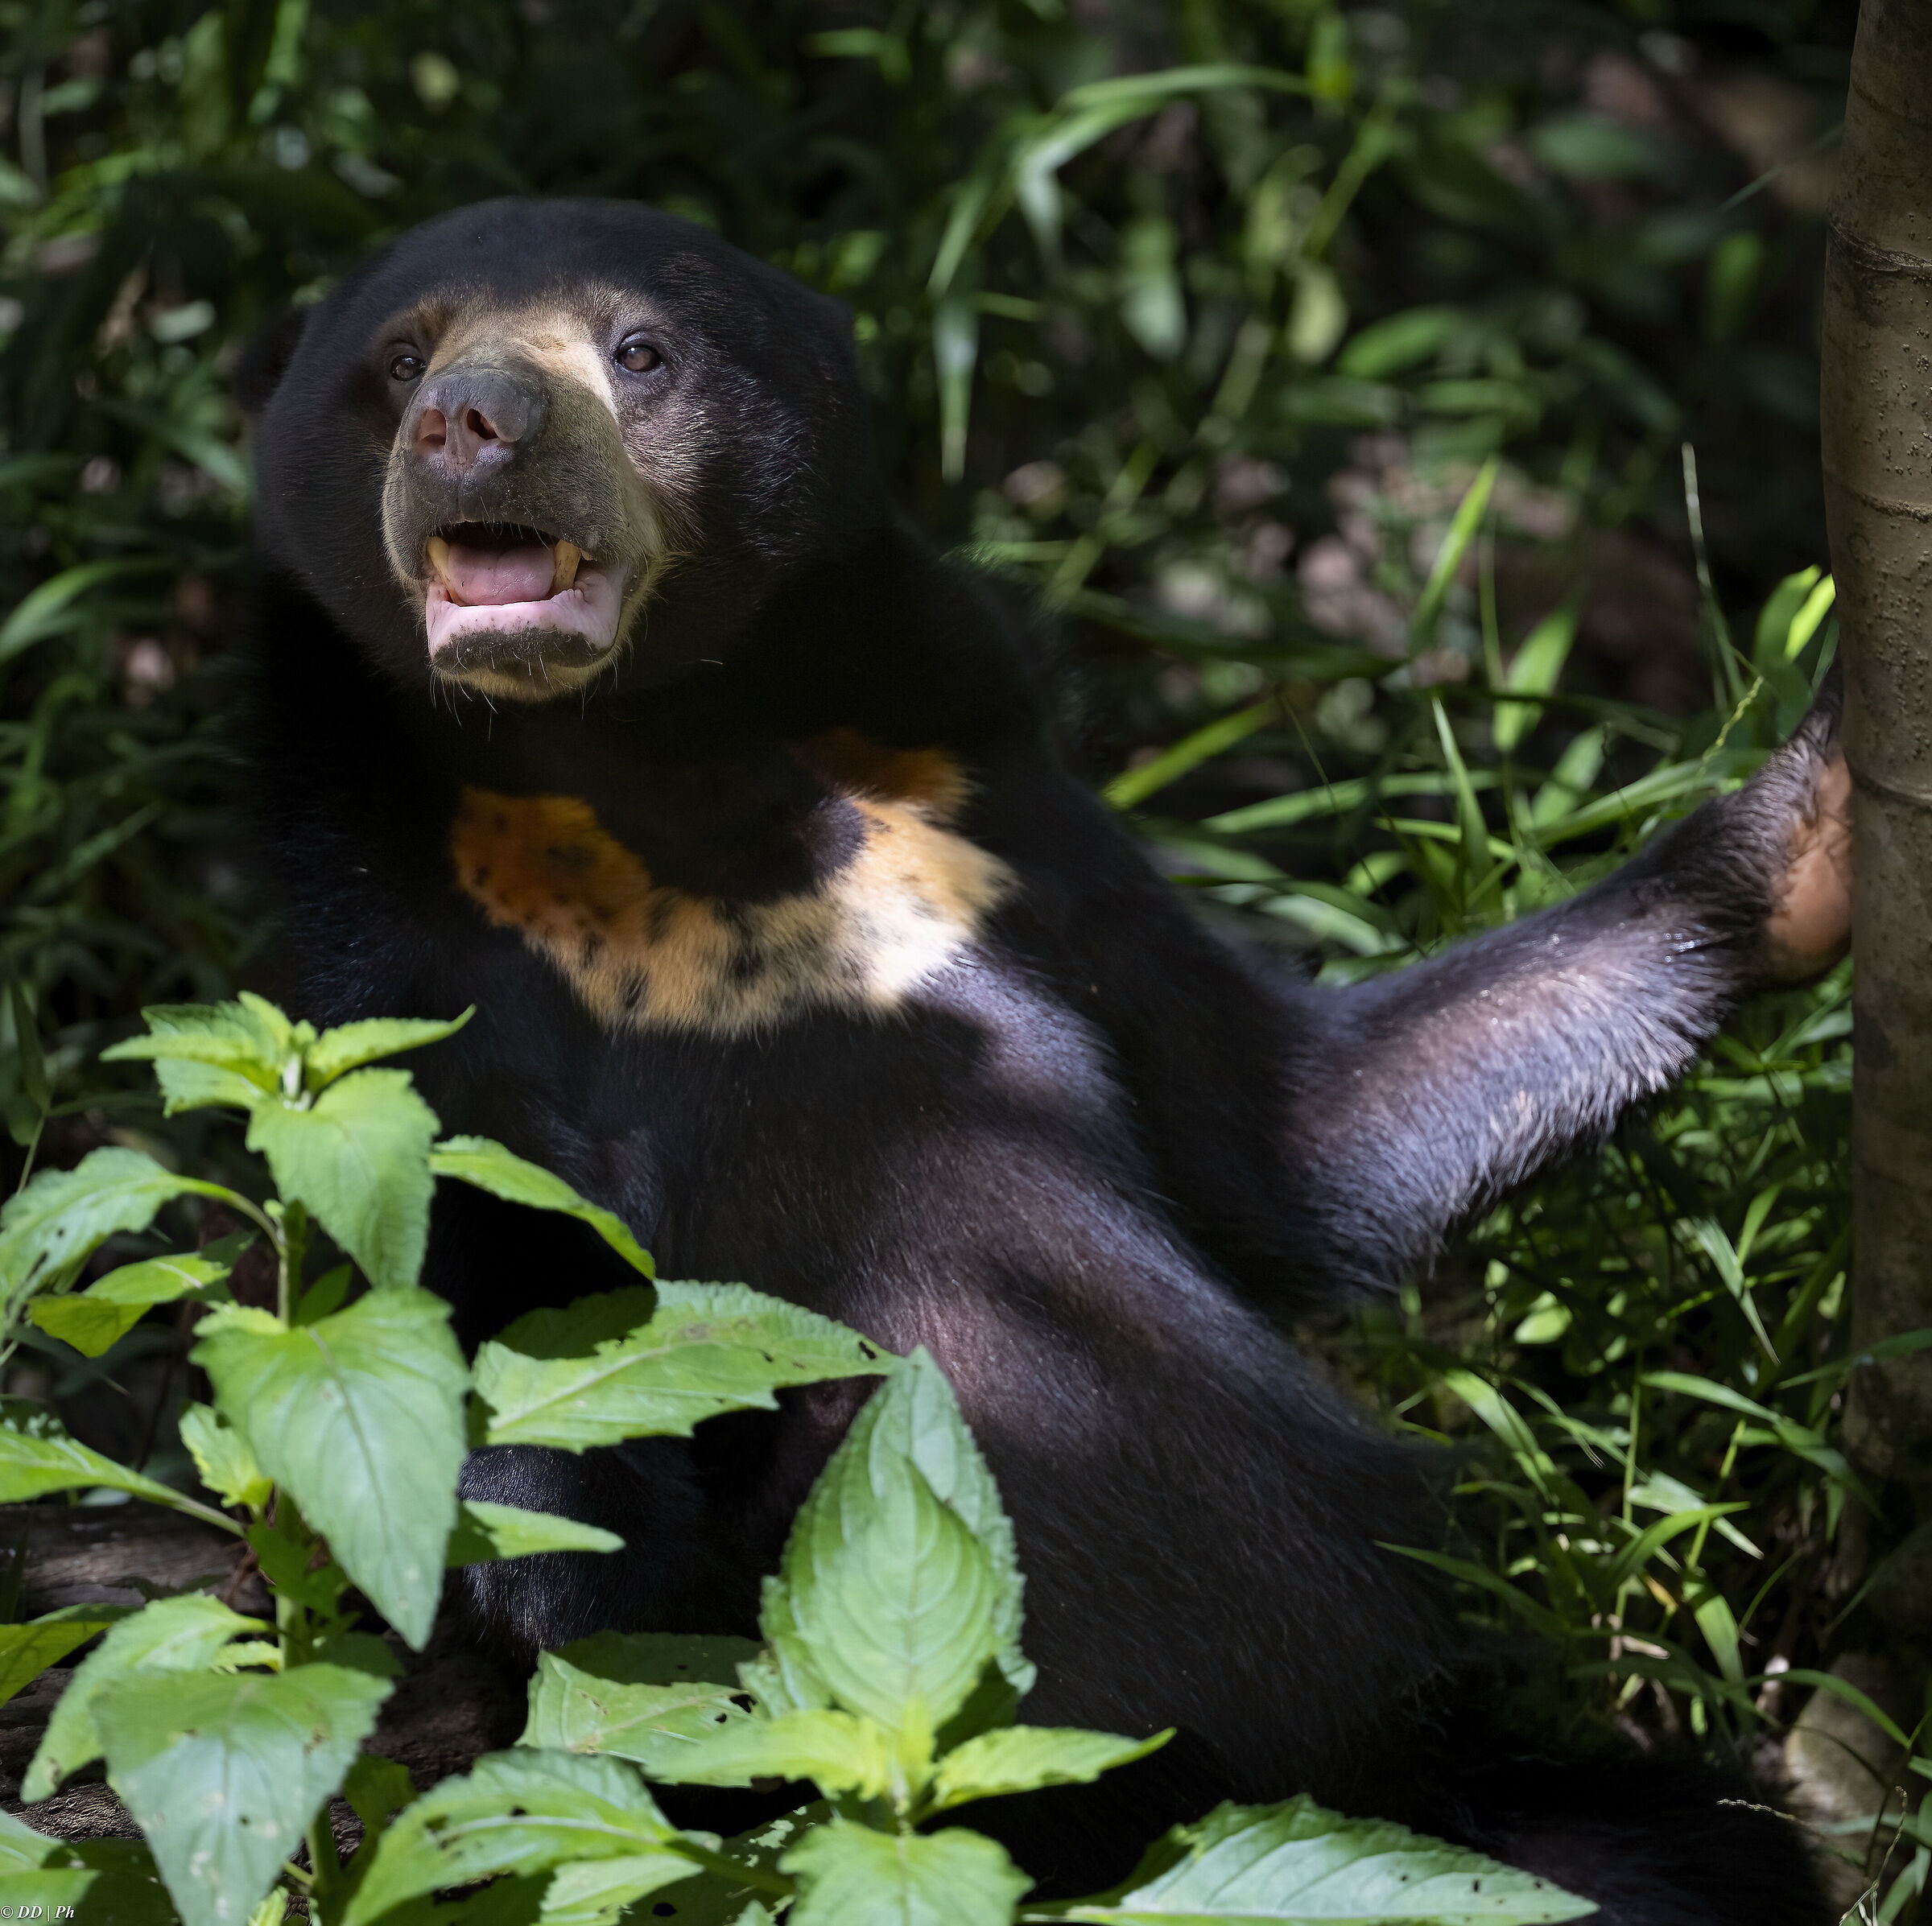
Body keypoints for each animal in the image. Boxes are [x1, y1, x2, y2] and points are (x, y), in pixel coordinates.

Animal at [236, 197, 1851, 1921]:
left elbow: (1301, 1126)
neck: (651, 764)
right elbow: (476, 1277)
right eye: (397, 357)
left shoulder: (988, 819)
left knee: (1692, 1849)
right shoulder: (411, 955)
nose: (469, 423)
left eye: (639, 349)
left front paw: (1809, 819)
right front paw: (596, 1601)